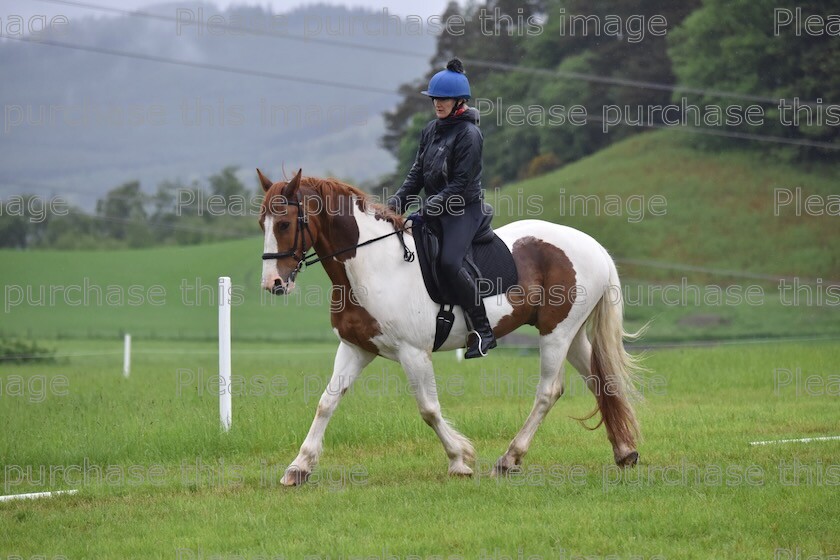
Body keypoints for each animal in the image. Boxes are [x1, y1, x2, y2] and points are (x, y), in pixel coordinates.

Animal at [260, 167, 648, 486]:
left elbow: (428, 409)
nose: (273, 284)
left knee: (548, 391)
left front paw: (460, 460)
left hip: (557, 333)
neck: (371, 265)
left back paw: (508, 460)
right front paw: (298, 467)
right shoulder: (356, 348)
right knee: (599, 380)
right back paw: (624, 451)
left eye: (284, 224)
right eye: (262, 222)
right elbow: (327, 402)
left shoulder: (413, 353)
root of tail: (593, 246)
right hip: (572, 333)